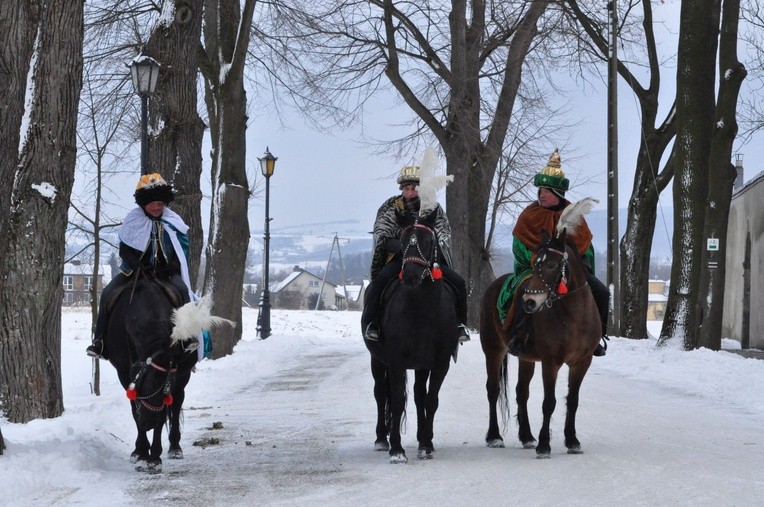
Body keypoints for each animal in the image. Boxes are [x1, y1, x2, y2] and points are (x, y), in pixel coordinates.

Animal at [106, 272, 227, 474]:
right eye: (145, 386)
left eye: (163, 389)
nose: (148, 424)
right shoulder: (123, 372)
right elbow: (134, 408)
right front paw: (141, 451)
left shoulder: (175, 376)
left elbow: (164, 412)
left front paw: (154, 456)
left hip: (184, 375)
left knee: (177, 404)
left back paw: (175, 447)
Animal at [366, 211, 460, 464]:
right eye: (403, 239)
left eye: (428, 241)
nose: (410, 275)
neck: (422, 308)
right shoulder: (396, 361)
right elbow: (397, 401)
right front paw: (397, 450)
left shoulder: (439, 363)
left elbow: (430, 399)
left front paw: (426, 445)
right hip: (377, 361)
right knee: (380, 393)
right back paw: (382, 439)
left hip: (421, 365)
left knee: (419, 395)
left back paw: (421, 438)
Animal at [480, 199, 600, 460]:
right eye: (535, 264)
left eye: (554, 265)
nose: (529, 303)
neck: (574, 317)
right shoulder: (550, 362)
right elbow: (549, 402)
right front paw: (545, 445)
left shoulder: (581, 362)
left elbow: (572, 400)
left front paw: (572, 441)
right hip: (493, 349)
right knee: (493, 390)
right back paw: (494, 436)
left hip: (526, 358)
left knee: (521, 392)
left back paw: (526, 436)